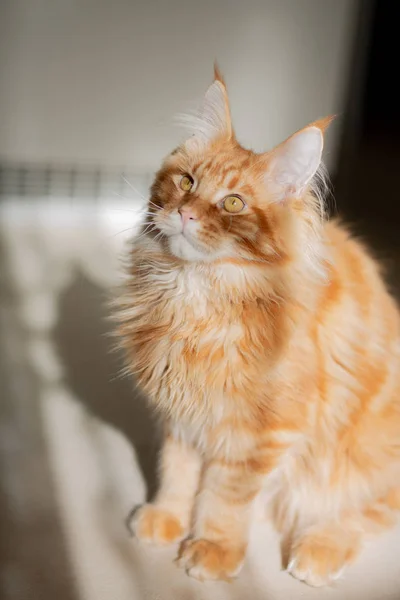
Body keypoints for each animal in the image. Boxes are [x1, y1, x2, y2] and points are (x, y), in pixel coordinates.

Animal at [115, 67, 400, 584]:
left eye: (232, 204)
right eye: (186, 181)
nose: (185, 212)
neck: (195, 296)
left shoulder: (262, 432)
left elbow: (224, 497)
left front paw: (212, 549)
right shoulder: (181, 415)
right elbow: (177, 472)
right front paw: (166, 517)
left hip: (361, 459)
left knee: (362, 513)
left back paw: (315, 552)